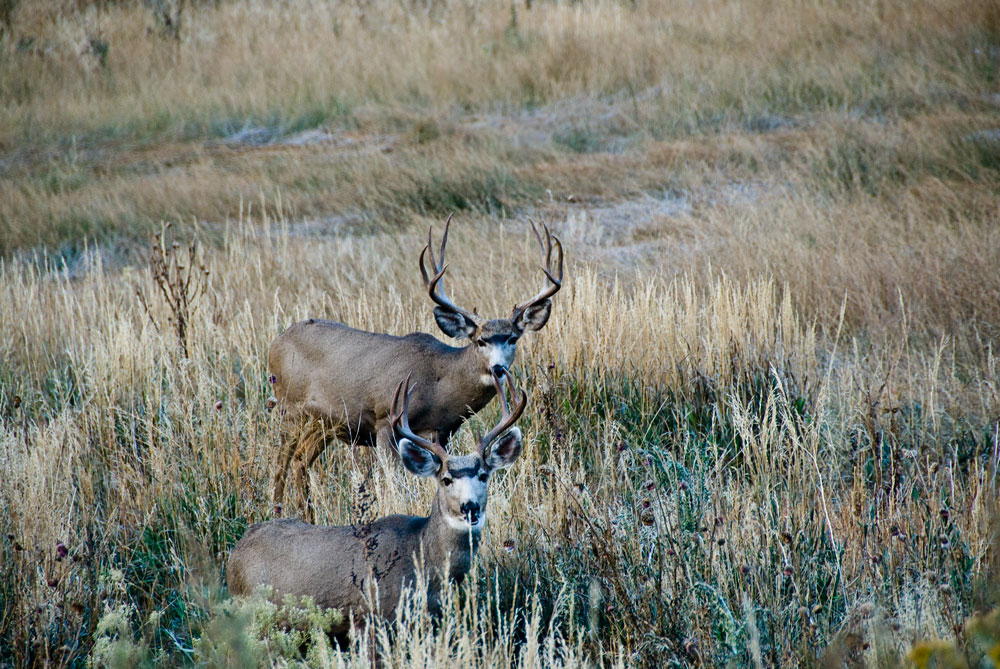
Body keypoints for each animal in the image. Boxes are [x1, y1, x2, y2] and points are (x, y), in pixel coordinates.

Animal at [228, 370, 527, 648]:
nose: (470, 507)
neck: (424, 558)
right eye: (446, 479)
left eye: (484, 475)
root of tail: (236, 552)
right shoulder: (372, 616)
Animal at [268, 216, 561, 515]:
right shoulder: (385, 419)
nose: (499, 368)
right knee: (281, 461)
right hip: (289, 407)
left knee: (301, 460)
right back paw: (276, 510)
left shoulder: (442, 432)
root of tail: (277, 341)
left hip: (322, 422)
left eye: (513, 338)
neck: (439, 384)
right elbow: (391, 481)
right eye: (480, 341)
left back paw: (307, 514)